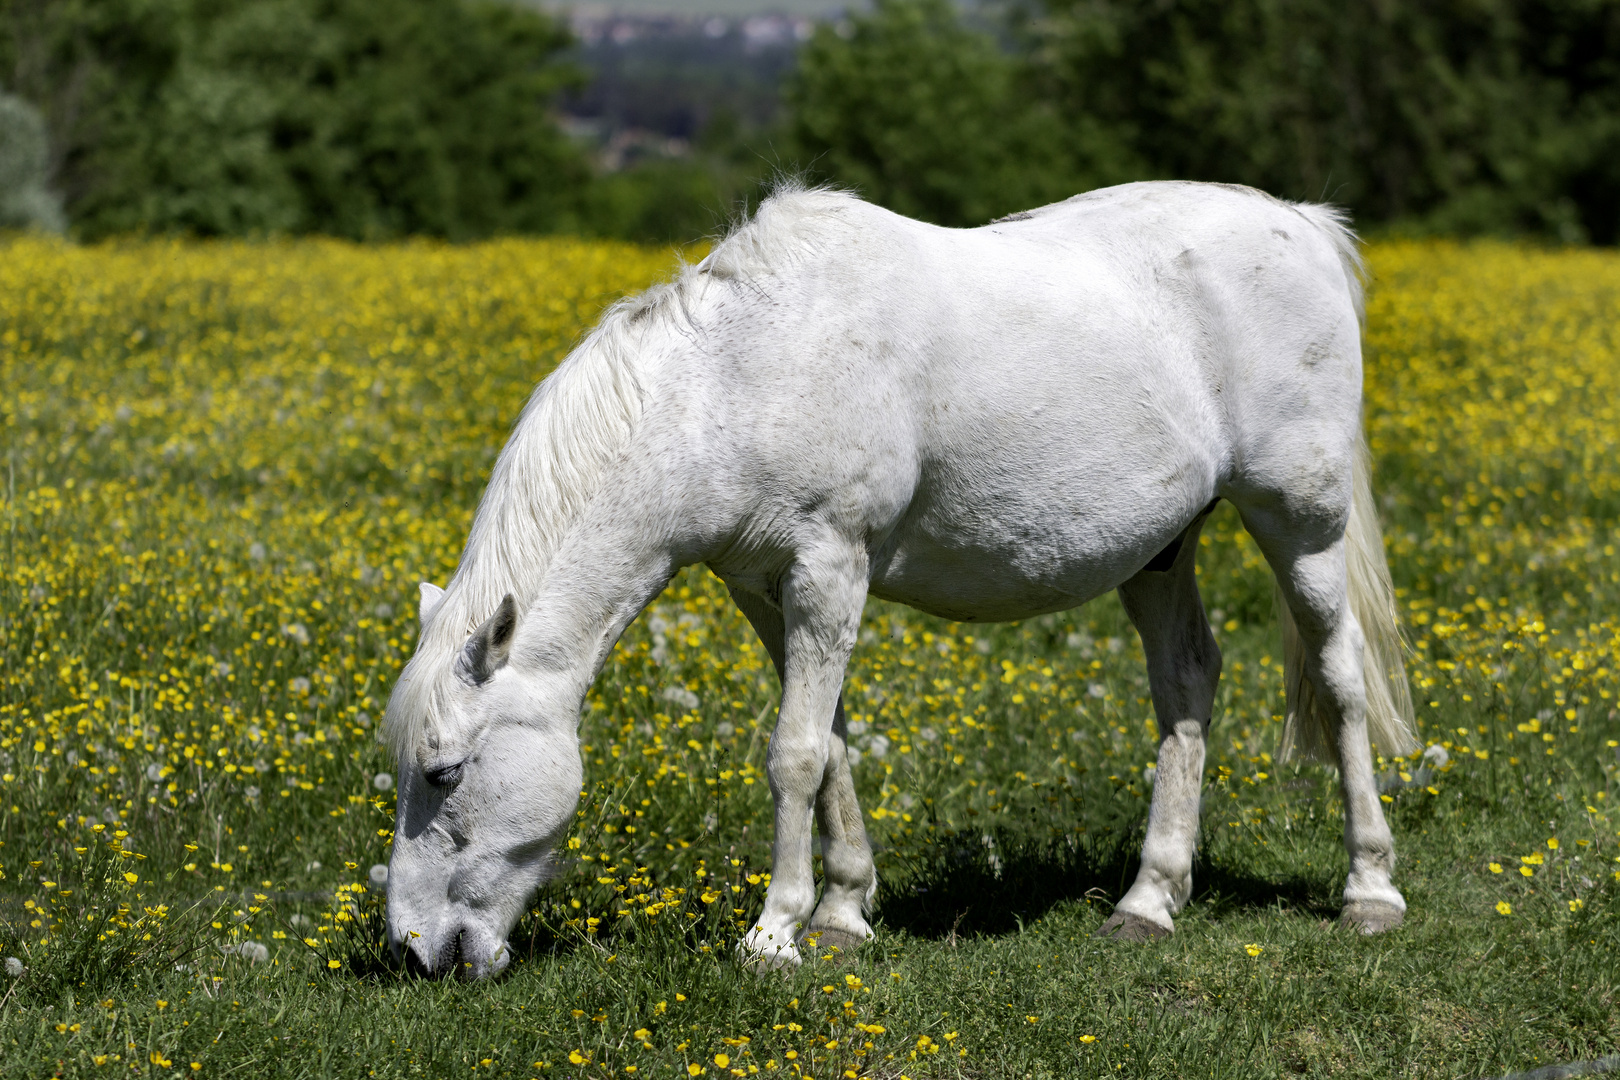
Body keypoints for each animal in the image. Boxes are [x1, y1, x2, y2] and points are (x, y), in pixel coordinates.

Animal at [382, 180, 1417, 979]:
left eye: (445, 771)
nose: (415, 949)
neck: (736, 379)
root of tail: (1304, 224)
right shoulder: (765, 590)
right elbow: (831, 744)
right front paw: (842, 915)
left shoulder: (830, 566)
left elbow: (794, 754)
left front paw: (774, 935)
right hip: (1161, 551)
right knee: (1188, 683)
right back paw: (1149, 900)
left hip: (1300, 524)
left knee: (1339, 678)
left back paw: (1369, 890)